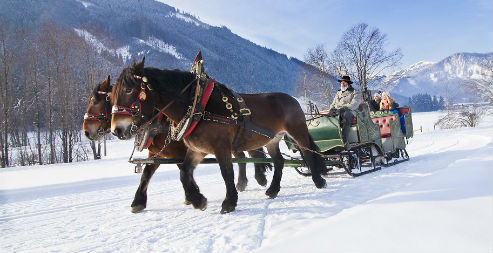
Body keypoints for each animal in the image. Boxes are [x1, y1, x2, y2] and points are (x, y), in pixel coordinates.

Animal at [83, 76, 270, 212]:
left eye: (96, 101)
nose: (86, 131)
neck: (159, 122)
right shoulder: (156, 153)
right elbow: (147, 174)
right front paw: (138, 202)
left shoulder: (181, 152)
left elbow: (184, 172)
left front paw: (194, 196)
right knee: (243, 156)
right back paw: (243, 182)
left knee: (253, 153)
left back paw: (259, 178)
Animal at [111, 58, 326, 214]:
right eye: (111, 95)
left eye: (129, 89)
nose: (116, 130)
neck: (197, 106)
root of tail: (293, 100)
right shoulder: (196, 150)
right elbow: (184, 173)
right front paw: (198, 200)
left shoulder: (221, 147)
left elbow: (226, 172)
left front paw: (229, 202)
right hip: (272, 139)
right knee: (279, 161)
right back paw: (273, 190)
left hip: (298, 132)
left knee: (308, 153)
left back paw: (318, 181)